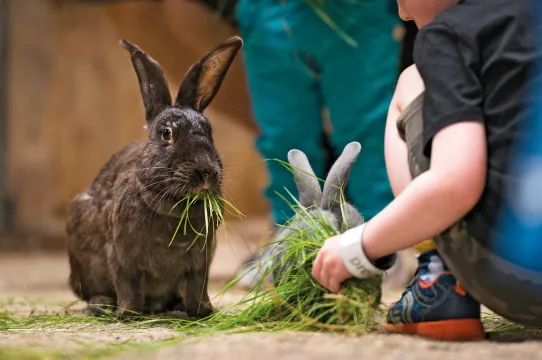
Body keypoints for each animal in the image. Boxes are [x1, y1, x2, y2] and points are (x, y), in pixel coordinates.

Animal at [65, 35, 242, 318]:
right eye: (166, 133)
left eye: (210, 132)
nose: (206, 171)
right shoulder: (121, 255)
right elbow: (127, 284)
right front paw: (129, 314)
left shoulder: (200, 262)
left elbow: (197, 287)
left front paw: (203, 311)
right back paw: (102, 304)